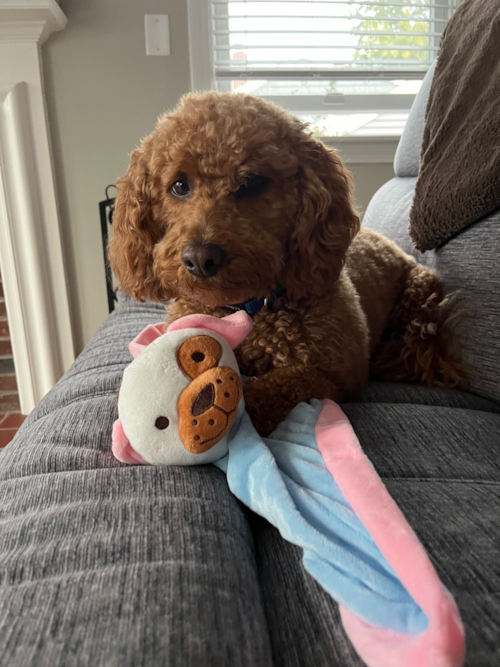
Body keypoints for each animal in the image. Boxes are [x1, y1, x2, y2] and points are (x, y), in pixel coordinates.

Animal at [108, 91, 464, 436]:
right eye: (179, 186)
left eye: (252, 183)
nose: (200, 258)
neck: (244, 308)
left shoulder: (335, 372)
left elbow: (277, 386)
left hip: (420, 301)